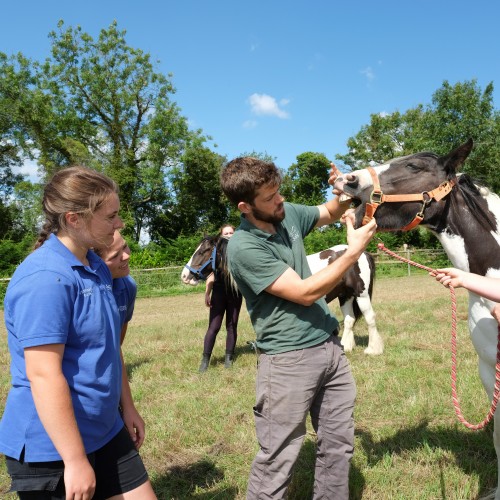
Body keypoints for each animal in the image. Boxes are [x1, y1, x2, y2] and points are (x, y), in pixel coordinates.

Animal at [183, 236, 382, 354]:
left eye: (202, 251)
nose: (184, 275)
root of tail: (362, 252)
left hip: (361, 295)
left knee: (370, 318)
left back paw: (373, 350)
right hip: (346, 296)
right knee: (349, 320)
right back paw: (346, 347)